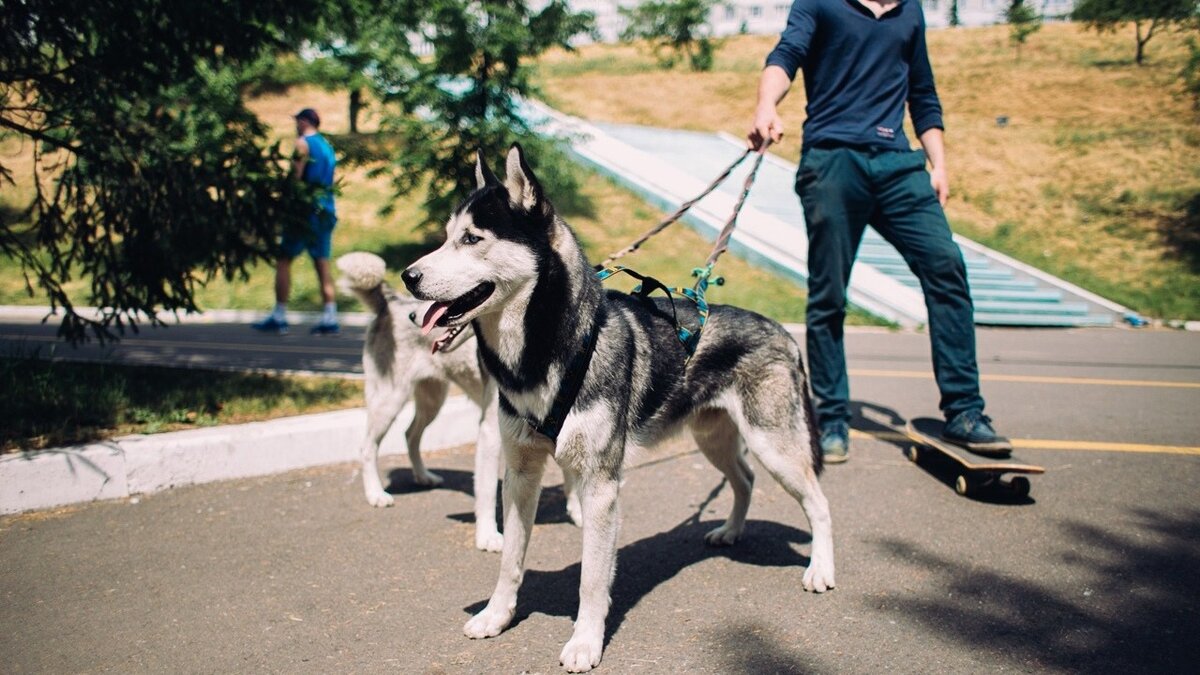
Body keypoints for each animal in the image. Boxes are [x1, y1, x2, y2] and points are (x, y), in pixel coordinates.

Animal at [338, 249, 516, 550]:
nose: (416, 317)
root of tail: (392, 302)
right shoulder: (491, 429)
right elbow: (487, 490)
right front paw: (488, 536)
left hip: (432, 400)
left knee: (410, 434)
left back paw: (423, 476)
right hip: (389, 400)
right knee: (367, 448)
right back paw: (376, 494)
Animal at [403, 145, 835, 667]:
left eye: (471, 239)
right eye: (447, 238)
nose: (408, 277)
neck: (550, 350)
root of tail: (785, 334)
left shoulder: (601, 484)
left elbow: (592, 578)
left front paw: (585, 642)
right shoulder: (522, 471)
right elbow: (510, 560)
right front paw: (496, 616)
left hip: (774, 446)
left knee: (819, 502)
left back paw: (820, 569)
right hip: (713, 439)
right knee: (745, 480)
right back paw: (730, 532)